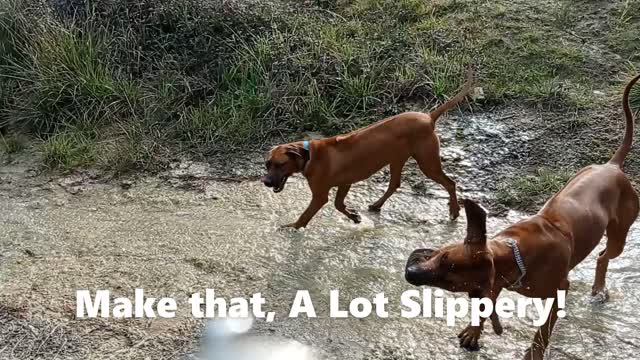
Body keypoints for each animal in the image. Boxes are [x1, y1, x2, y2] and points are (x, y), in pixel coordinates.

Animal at [262, 68, 476, 228]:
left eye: (280, 164)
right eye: (267, 164)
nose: (265, 182)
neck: (309, 156)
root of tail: (429, 117)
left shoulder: (320, 195)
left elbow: (306, 215)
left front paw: (291, 227)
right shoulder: (345, 183)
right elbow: (338, 204)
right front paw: (353, 216)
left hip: (427, 162)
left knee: (450, 183)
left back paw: (454, 211)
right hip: (397, 159)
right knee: (394, 184)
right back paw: (377, 204)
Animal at [404, 73, 640, 360]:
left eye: (449, 282)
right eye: (442, 254)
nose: (410, 273)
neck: (514, 253)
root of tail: (612, 166)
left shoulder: (556, 291)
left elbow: (544, 329)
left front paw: (535, 352)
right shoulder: (494, 283)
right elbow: (485, 306)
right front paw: (474, 331)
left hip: (620, 235)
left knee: (604, 256)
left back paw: (598, 287)